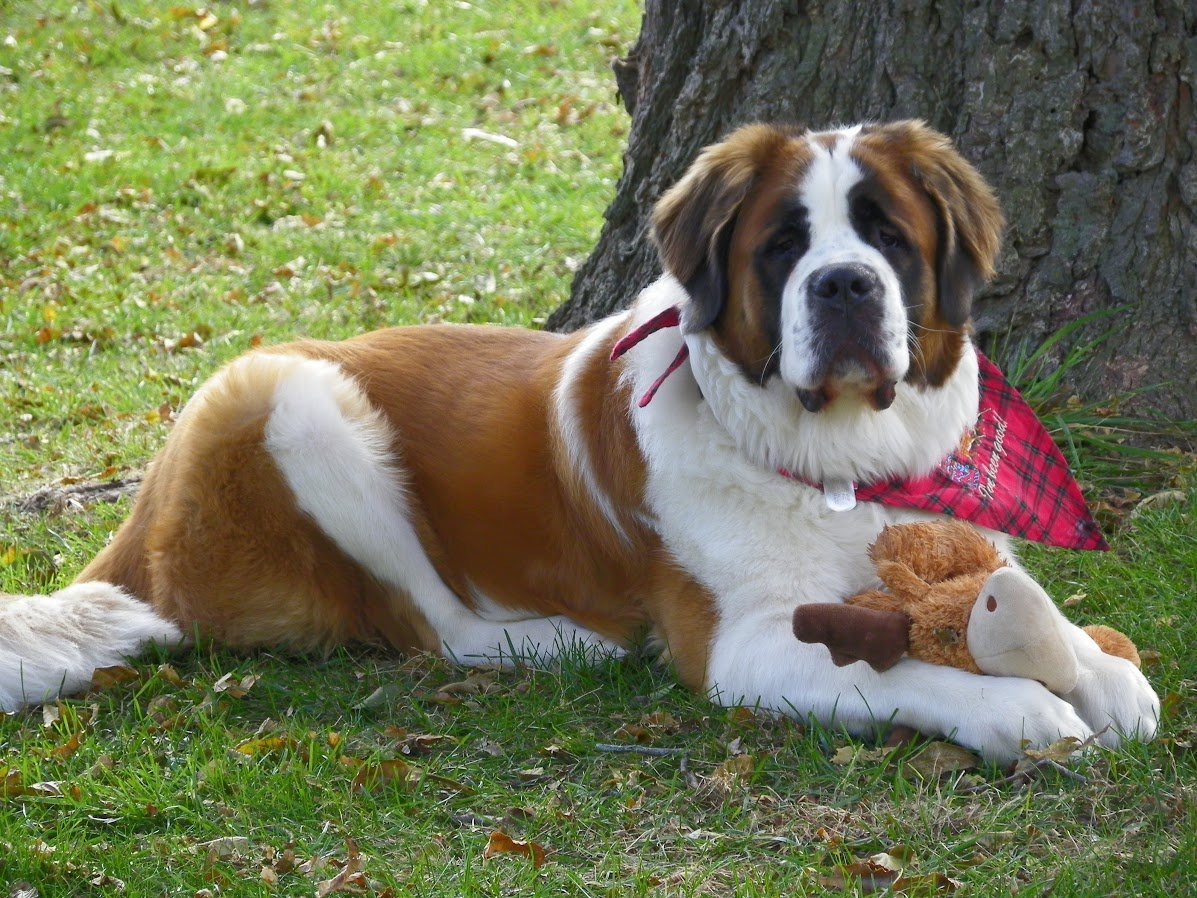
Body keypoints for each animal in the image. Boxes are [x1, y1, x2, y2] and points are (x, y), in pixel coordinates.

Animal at [2, 121, 1158, 761]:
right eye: (783, 245)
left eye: (888, 238)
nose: (841, 285)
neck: (837, 469)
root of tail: (135, 533)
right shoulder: (745, 643)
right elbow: (905, 668)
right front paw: (1018, 710)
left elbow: (1034, 610)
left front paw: (1102, 674)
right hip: (286, 394)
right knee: (428, 626)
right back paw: (564, 644)